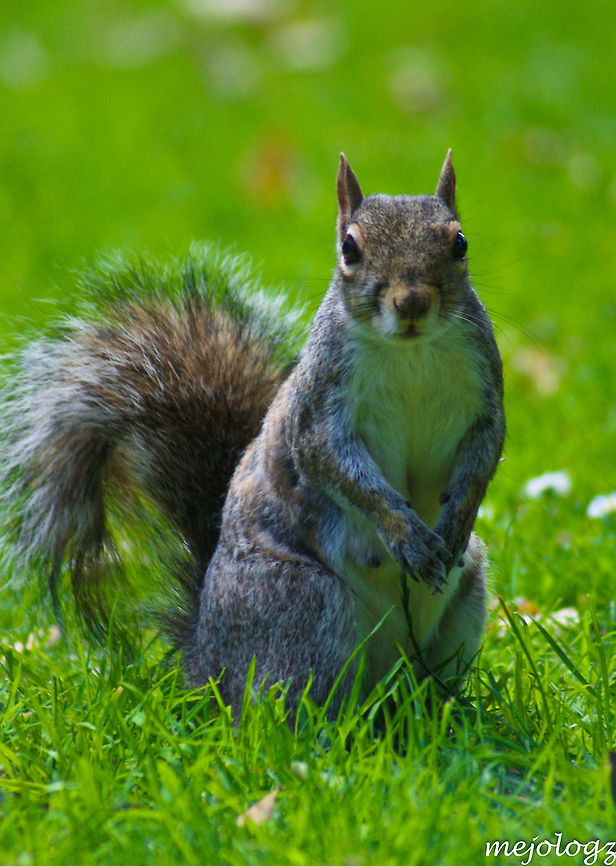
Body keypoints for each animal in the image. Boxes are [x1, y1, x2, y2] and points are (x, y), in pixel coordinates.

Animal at [0, 152, 505, 718]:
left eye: (459, 242)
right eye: (349, 249)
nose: (413, 303)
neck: (410, 351)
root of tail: (208, 663)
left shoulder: (486, 392)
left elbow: (486, 453)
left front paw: (457, 516)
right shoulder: (318, 409)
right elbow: (335, 465)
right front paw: (405, 533)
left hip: (465, 598)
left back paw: (438, 714)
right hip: (304, 605)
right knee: (280, 707)